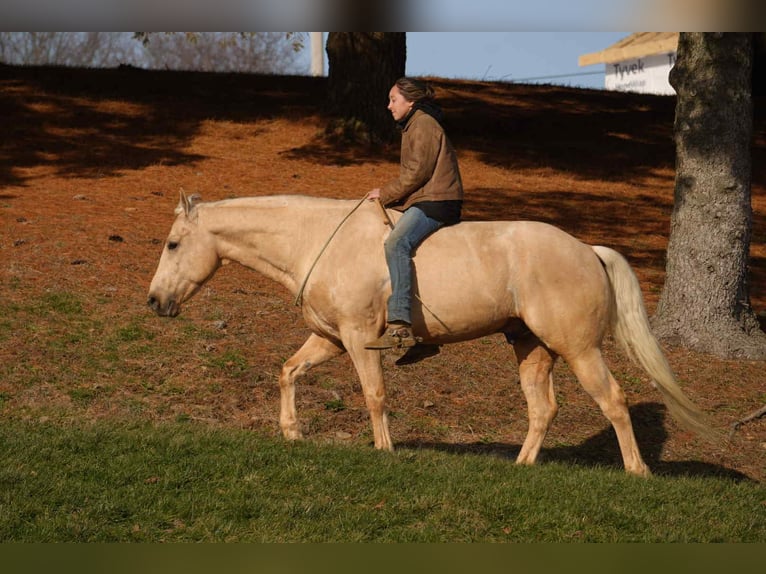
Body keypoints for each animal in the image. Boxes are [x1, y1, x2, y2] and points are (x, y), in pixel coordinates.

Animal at [147, 192, 714, 476]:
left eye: (174, 244)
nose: (154, 301)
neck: (319, 239)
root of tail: (587, 249)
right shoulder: (330, 338)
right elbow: (289, 372)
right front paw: (292, 432)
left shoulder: (360, 337)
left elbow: (374, 395)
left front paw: (384, 451)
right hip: (532, 348)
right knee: (543, 409)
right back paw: (521, 466)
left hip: (579, 349)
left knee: (613, 401)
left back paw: (636, 472)